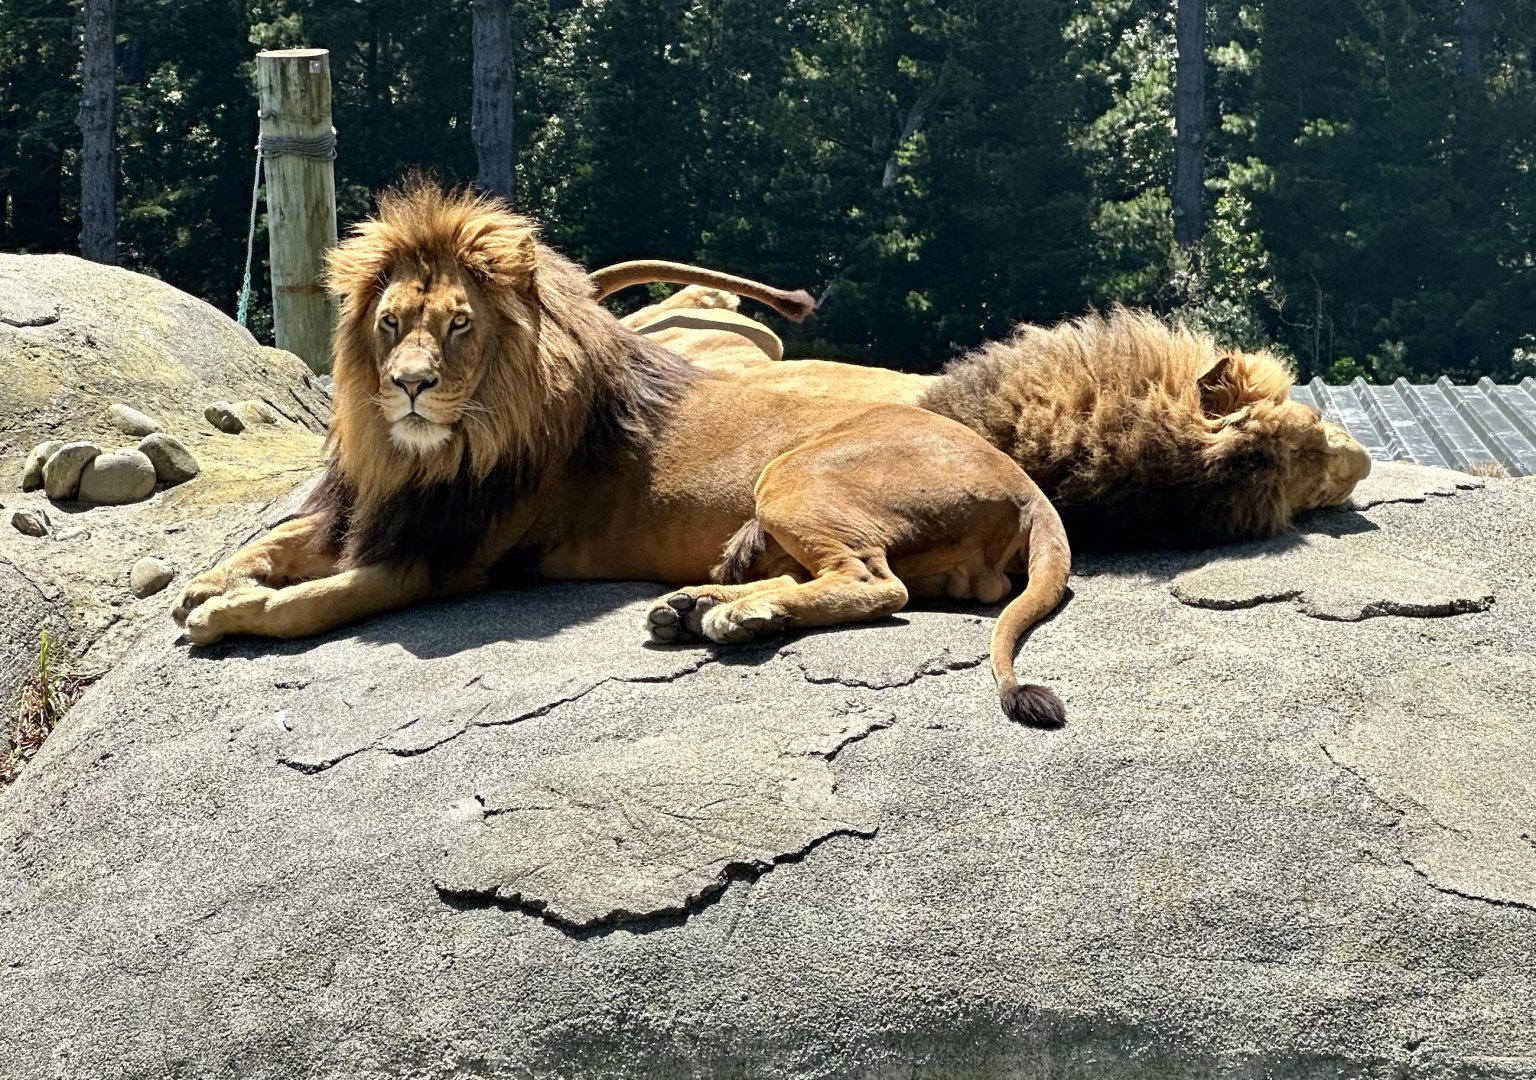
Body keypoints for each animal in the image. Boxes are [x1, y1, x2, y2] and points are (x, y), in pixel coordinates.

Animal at [172, 185, 1073, 726]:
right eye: (390, 323)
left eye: (459, 325)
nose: (409, 386)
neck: (424, 454)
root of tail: (1024, 483)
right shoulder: (376, 507)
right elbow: (278, 540)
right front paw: (210, 582)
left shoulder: (439, 560)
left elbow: (311, 603)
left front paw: (226, 614)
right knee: (842, 578)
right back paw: (704, 608)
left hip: (792, 476)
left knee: (875, 584)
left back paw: (732, 615)